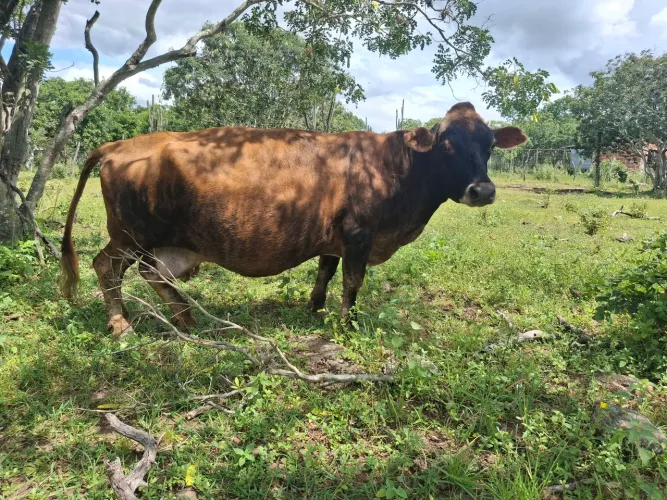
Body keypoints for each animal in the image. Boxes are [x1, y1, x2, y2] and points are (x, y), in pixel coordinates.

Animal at [60, 102, 527, 337]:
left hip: (163, 241)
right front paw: (347, 323)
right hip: (129, 234)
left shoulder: (335, 238)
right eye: (448, 144)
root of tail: (120, 144)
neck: (395, 167)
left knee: (153, 273)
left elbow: (326, 271)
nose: (483, 191)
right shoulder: (359, 235)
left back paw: (186, 317)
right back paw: (121, 324)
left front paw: (315, 308)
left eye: (489, 144)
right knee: (107, 267)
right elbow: (352, 281)